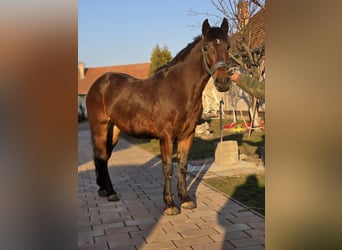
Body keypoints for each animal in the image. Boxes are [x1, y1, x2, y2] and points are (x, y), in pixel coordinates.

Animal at [85, 18, 231, 216]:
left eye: (228, 46)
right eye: (206, 47)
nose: (222, 82)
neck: (179, 90)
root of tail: (97, 84)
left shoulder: (188, 135)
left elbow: (182, 166)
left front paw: (186, 199)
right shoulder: (166, 137)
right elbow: (168, 167)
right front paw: (170, 204)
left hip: (114, 130)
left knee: (104, 157)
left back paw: (104, 190)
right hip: (100, 127)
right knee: (101, 156)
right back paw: (111, 192)